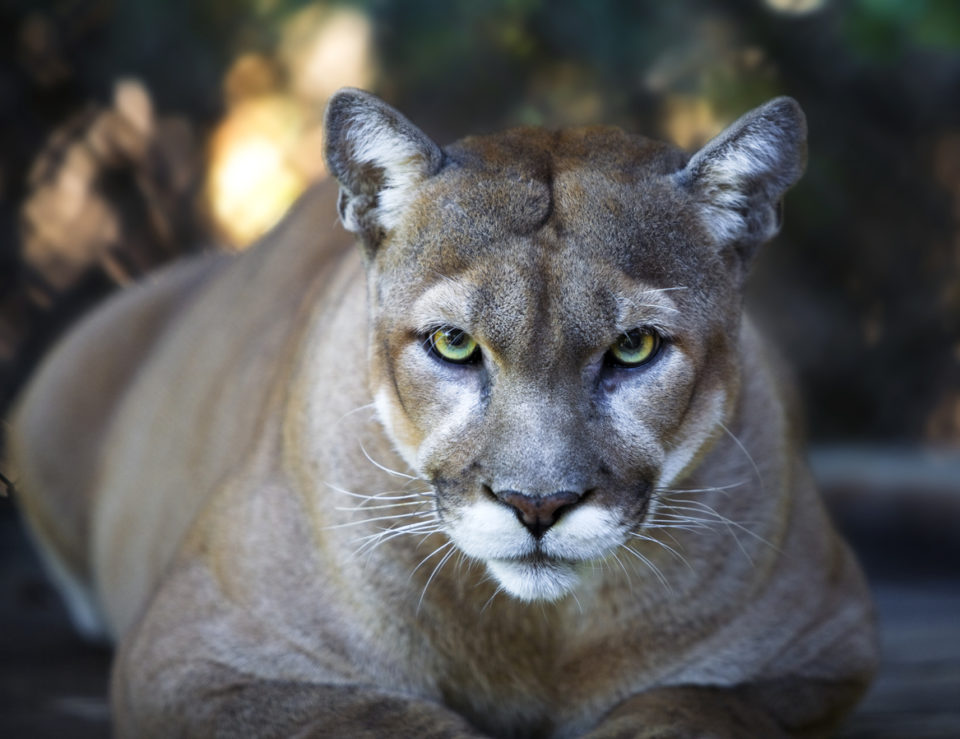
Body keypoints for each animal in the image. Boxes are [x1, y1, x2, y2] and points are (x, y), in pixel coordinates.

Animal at [7, 89, 876, 736]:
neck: (538, 635)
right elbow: (375, 719)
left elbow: (694, 706)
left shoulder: (821, 648)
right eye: (454, 343)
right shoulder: (195, 650)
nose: (538, 504)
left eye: (634, 347)